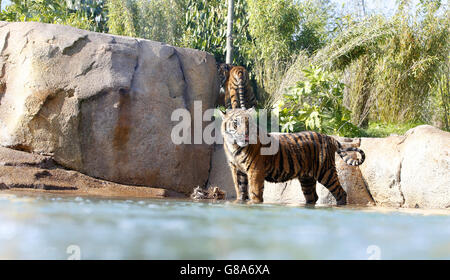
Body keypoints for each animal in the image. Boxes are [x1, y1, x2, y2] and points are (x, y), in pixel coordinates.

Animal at [221, 108, 366, 205]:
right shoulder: (237, 170)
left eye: (248, 123)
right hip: (307, 179)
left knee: (341, 193)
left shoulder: (255, 170)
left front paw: (254, 204)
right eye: (236, 123)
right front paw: (240, 202)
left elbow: (255, 192)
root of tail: (329, 137)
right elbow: (240, 190)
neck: (235, 147)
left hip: (326, 172)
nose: (245, 134)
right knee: (313, 197)